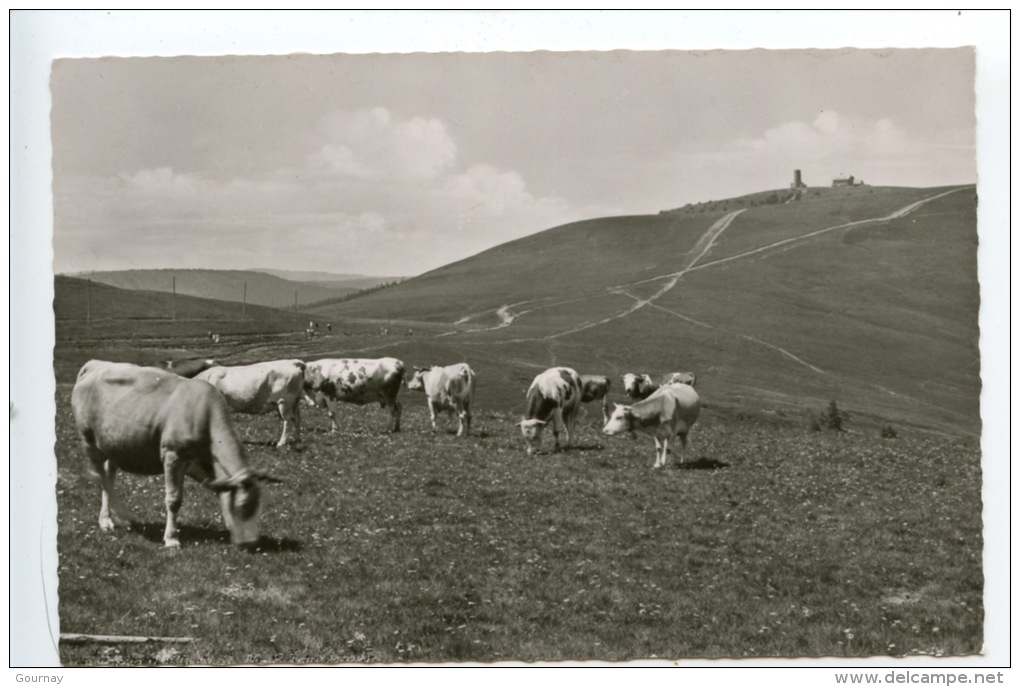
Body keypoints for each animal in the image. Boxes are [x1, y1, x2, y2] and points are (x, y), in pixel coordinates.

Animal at [70, 358, 279, 546]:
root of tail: (95, 364)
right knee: (101, 477)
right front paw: (171, 538)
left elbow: (219, 490)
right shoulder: (173, 456)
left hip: (115, 444)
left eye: (260, 506)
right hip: (89, 440)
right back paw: (119, 516)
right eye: (243, 506)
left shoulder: (196, 464)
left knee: (109, 476)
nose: (251, 542)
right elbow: (174, 499)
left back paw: (109, 517)